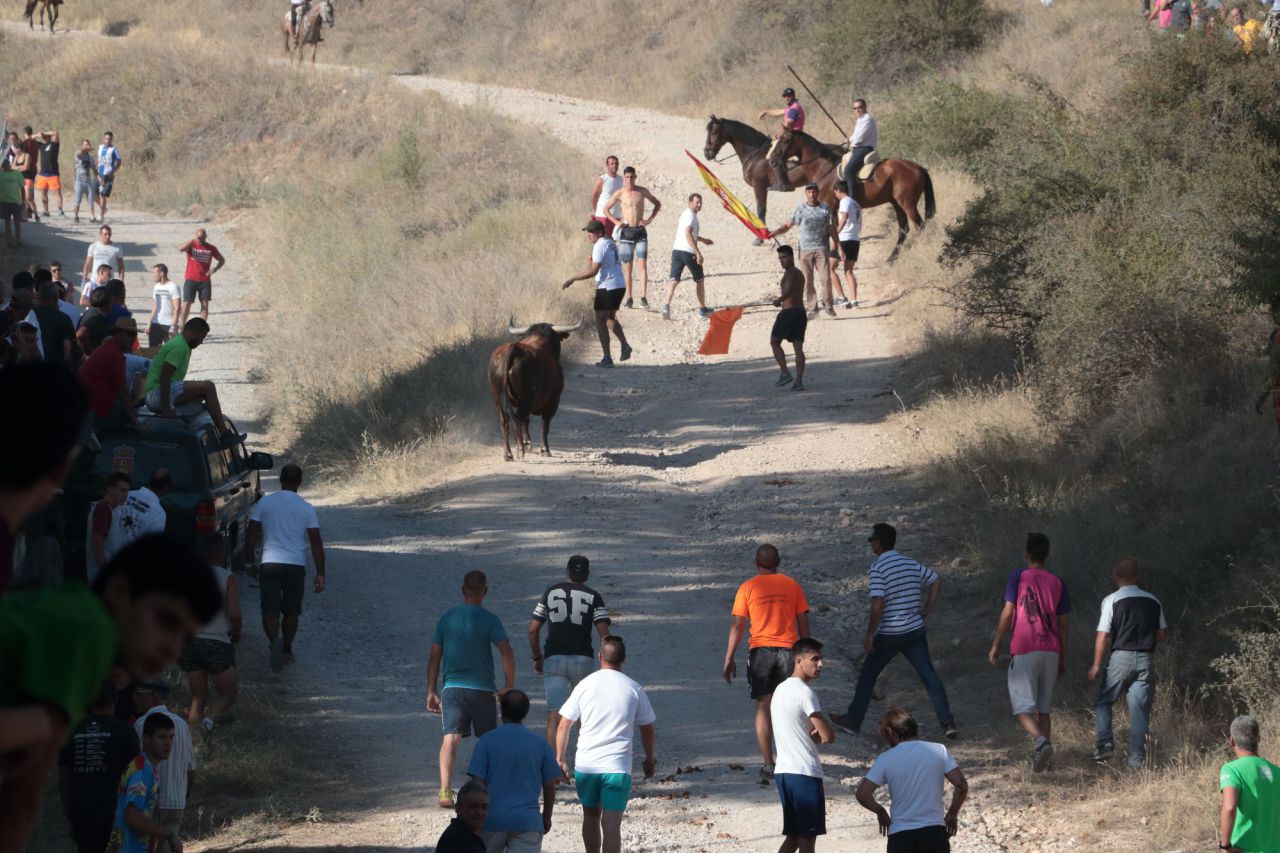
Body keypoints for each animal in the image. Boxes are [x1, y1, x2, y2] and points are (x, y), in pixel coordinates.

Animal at [489, 321, 582, 461]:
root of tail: (514, 348)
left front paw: (528, 443)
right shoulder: (553, 401)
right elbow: (544, 424)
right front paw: (544, 449)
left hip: (498, 399)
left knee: (505, 422)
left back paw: (508, 453)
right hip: (524, 400)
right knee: (517, 420)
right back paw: (520, 449)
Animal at [703, 115, 816, 246]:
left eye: (714, 131)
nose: (707, 154)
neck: (756, 155)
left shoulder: (759, 185)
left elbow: (761, 209)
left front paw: (760, 238)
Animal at [768, 127, 935, 262]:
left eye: (786, 140)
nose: (773, 161)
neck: (823, 167)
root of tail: (918, 167)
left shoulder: (829, 205)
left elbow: (833, 231)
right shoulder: (833, 208)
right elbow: (834, 231)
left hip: (908, 204)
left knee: (920, 226)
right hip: (897, 204)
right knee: (904, 229)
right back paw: (891, 258)